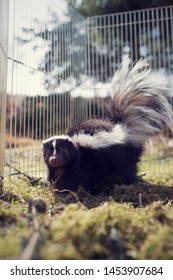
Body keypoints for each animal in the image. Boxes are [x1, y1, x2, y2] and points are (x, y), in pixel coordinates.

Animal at [42, 57, 173, 195]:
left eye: (62, 151)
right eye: (48, 152)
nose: (53, 159)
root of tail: (123, 128)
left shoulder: (81, 161)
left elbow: (74, 177)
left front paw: (64, 190)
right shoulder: (56, 168)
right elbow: (53, 175)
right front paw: (52, 185)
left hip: (120, 157)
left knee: (127, 170)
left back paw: (127, 185)